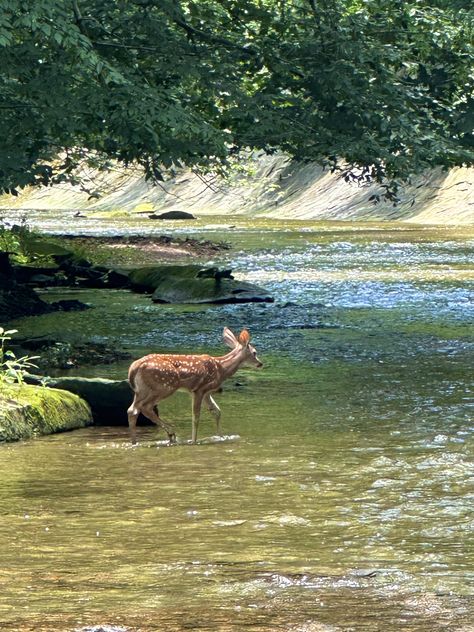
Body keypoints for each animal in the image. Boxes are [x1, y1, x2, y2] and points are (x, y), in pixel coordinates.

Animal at [126, 330, 262, 444]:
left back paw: (135, 442)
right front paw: (194, 441)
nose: (260, 363)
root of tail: (134, 367)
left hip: (141, 390)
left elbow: (217, 411)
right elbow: (196, 417)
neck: (221, 369)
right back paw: (171, 433)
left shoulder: (206, 392)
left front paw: (221, 437)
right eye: (254, 352)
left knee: (133, 409)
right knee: (145, 407)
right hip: (164, 386)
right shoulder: (199, 389)